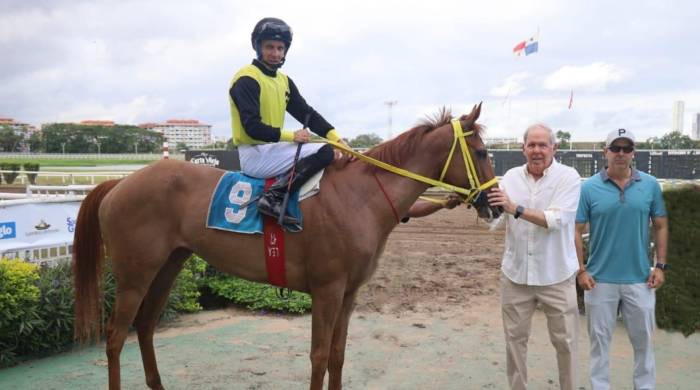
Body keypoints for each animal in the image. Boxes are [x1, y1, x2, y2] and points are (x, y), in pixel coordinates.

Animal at [72, 102, 504, 388]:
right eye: (483, 152)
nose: (496, 204)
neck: (361, 197)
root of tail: (120, 182)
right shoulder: (327, 290)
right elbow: (318, 356)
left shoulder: (349, 293)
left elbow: (337, 355)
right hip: (134, 273)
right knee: (115, 336)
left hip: (169, 264)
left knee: (145, 327)